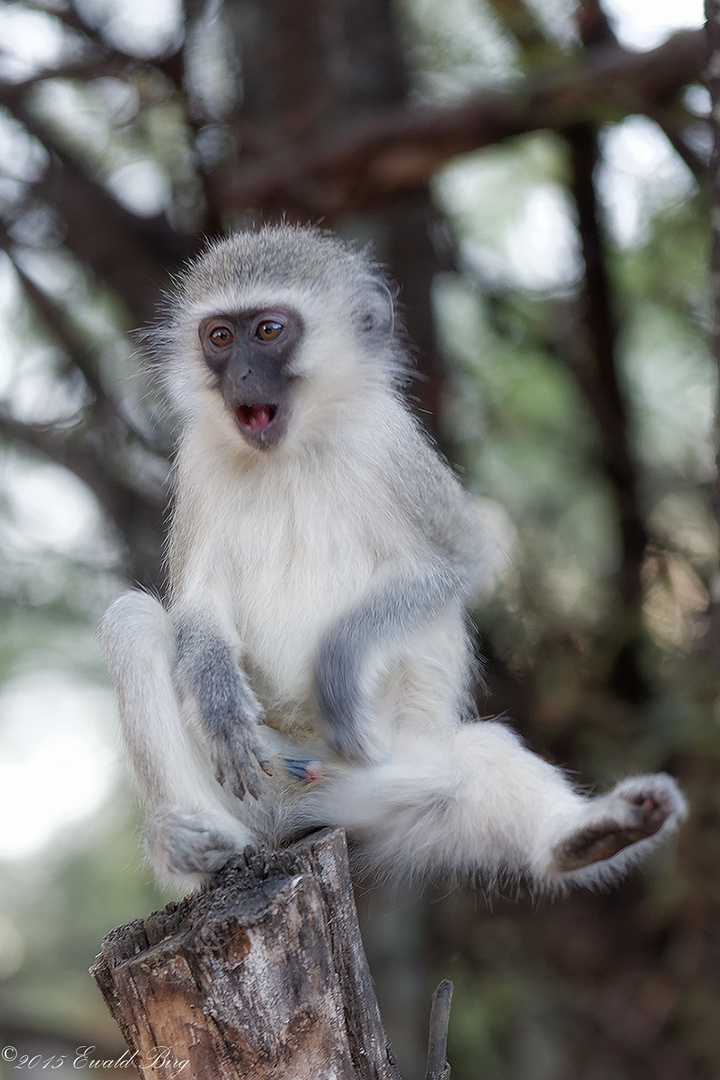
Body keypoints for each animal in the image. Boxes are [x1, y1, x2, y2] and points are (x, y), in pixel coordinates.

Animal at [99, 223, 686, 889]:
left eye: (268, 331)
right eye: (220, 337)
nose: (241, 376)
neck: (293, 450)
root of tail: (290, 818)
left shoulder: (391, 441)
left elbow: (457, 560)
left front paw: (337, 665)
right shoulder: (196, 461)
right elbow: (196, 603)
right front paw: (218, 693)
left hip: (383, 786)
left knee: (475, 758)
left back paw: (588, 835)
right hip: (256, 781)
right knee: (131, 622)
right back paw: (191, 844)